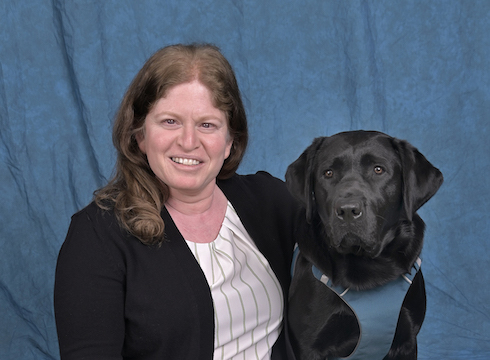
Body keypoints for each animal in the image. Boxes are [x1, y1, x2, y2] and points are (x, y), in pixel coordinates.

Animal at [286, 131, 442, 358]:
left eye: (378, 169)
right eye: (328, 173)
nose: (347, 210)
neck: (368, 267)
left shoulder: (407, 341)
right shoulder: (309, 347)